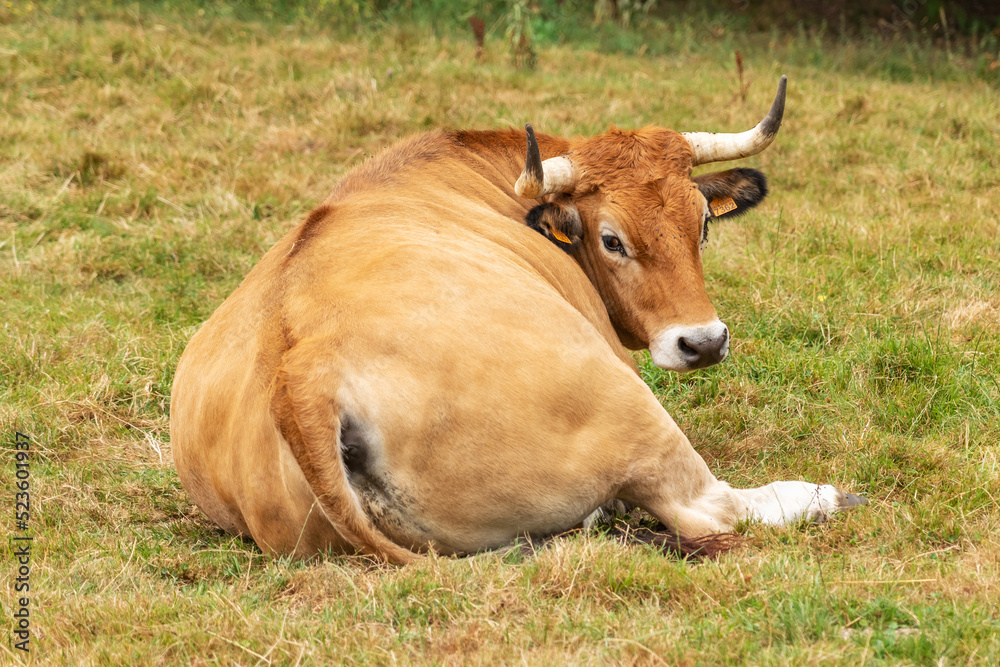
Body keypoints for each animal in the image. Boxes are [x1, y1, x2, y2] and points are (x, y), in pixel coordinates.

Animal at [172, 79, 868, 568]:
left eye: (701, 223)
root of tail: (302, 373)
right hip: (627, 409)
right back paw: (820, 496)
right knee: (706, 507)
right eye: (612, 240)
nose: (703, 342)